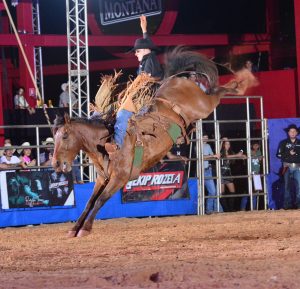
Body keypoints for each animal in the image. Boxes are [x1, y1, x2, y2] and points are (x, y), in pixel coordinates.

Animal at [52, 47, 241, 236]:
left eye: (65, 136)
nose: (56, 163)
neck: (106, 144)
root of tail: (176, 80)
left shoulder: (119, 178)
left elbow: (100, 200)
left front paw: (85, 228)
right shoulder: (102, 179)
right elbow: (89, 202)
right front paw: (75, 228)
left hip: (203, 105)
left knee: (218, 92)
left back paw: (239, 83)